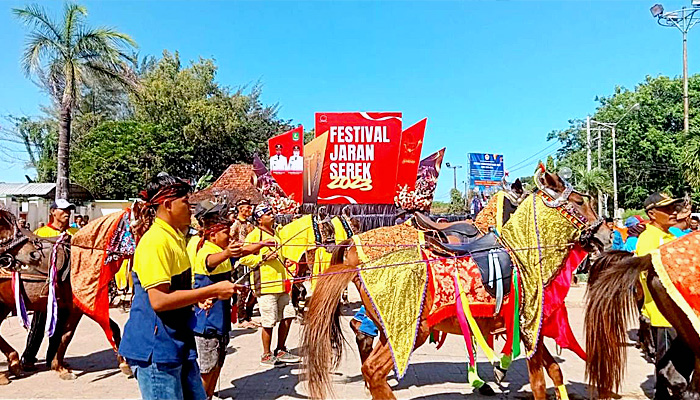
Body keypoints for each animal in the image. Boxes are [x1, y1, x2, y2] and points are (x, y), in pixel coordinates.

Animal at [304, 166, 608, 400]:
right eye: (580, 202)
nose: (606, 235)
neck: (522, 254)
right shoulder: (527, 326)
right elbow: (539, 383)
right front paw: (494, 376)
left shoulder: (532, 329)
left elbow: (554, 371)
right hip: (415, 331)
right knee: (372, 369)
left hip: (396, 332)